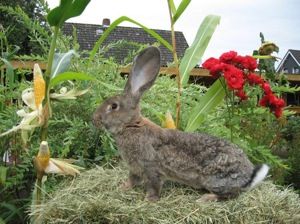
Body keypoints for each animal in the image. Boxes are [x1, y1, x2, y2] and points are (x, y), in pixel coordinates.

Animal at [92, 46, 268, 202]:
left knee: (232, 194)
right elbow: (132, 180)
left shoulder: (151, 167)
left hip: (216, 179)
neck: (131, 125)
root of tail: (248, 177)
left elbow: (154, 185)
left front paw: (150, 200)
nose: (94, 119)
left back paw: (206, 199)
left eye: (113, 106)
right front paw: (122, 187)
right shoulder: (135, 168)